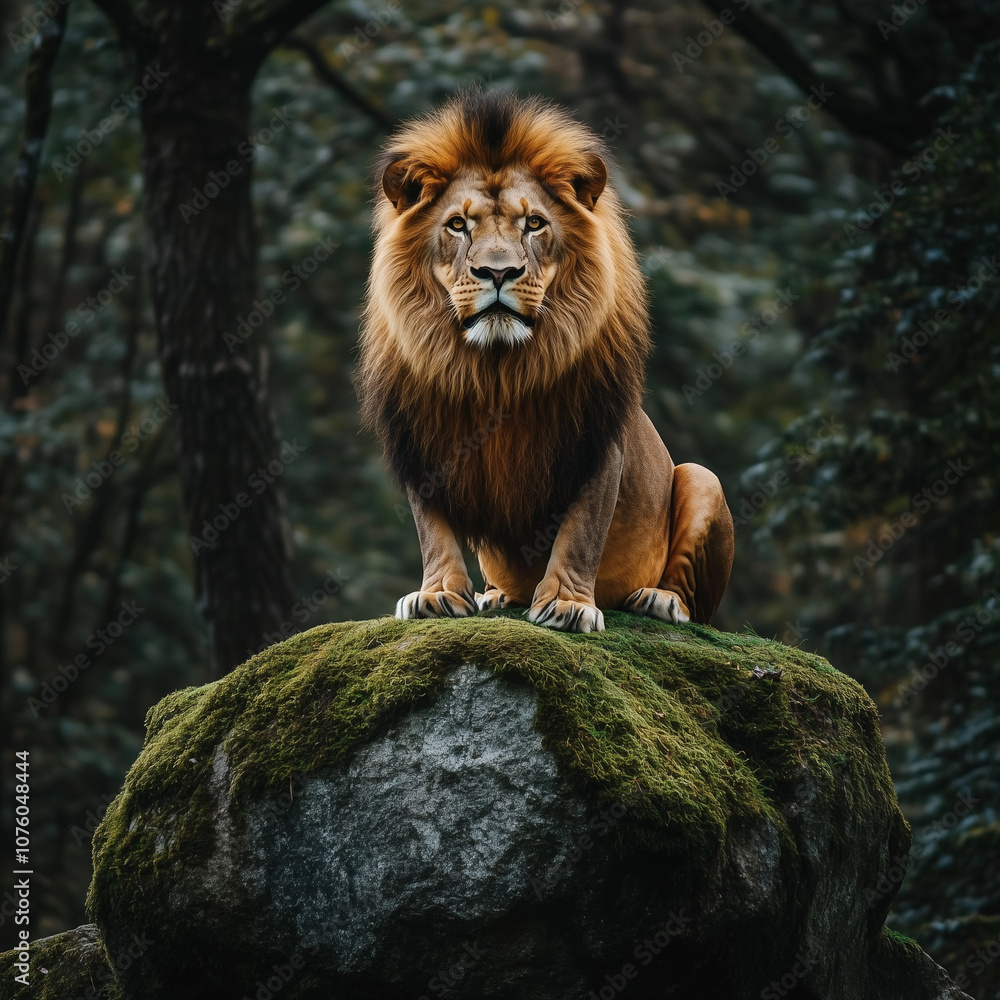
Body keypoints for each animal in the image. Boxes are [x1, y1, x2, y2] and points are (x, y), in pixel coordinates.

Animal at [358, 91, 734, 633]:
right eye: (457, 225)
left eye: (534, 224)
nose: (497, 272)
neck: (496, 370)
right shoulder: (421, 438)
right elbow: (433, 530)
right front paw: (438, 595)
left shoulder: (594, 439)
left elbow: (581, 531)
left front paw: (568, 604)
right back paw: (496, 596)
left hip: (703, 478)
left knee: (696, 603)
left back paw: (660, 601)